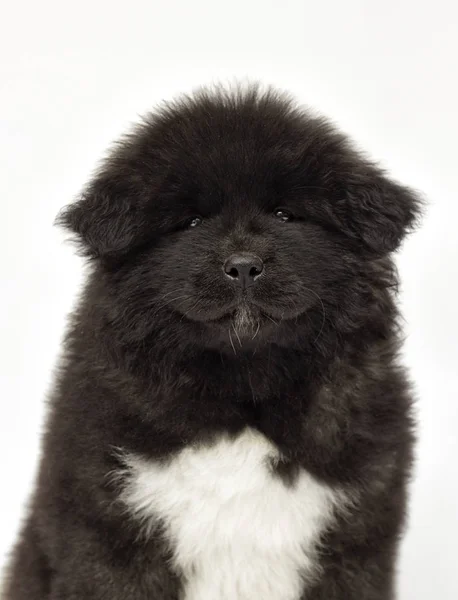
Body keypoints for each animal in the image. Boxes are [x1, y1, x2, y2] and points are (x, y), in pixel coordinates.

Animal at [3, 85, 420, 600]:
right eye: (192, 222)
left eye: (285, 214)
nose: (242, 266)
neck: (241, 390)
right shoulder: (107, 535)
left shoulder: (355, 541)